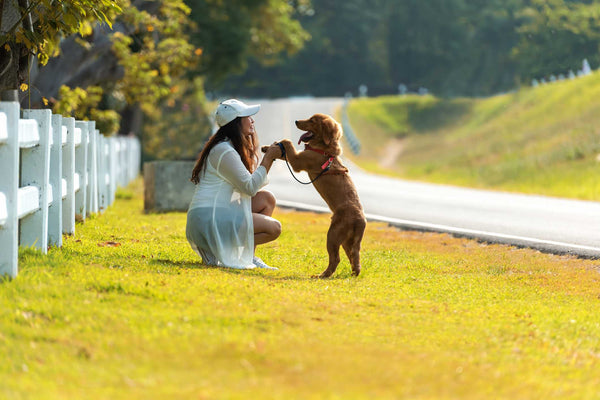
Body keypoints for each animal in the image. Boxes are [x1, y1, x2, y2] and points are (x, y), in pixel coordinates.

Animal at [262, 112, 366, 278]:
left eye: (312, 121)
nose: (296, 121)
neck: (324, 149)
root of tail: (360, 221)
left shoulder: (298, 161)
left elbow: (288, 144)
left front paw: (279, 143)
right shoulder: (299, 157)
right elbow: (284, 152)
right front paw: (268, 147)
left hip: (333, 235)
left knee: (336, 258)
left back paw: (322, 276)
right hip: (347, 241)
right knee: (354, 257)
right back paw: (352, 274)